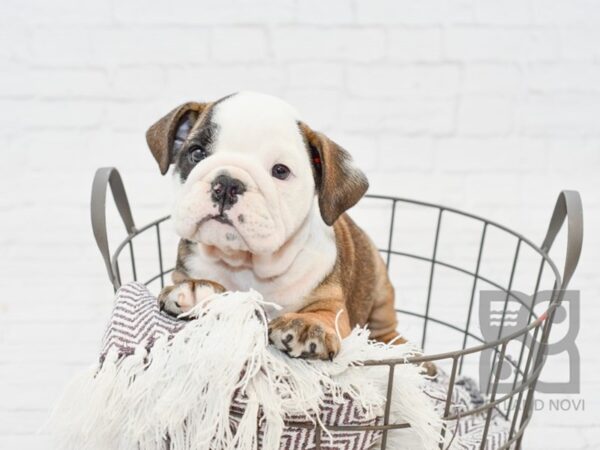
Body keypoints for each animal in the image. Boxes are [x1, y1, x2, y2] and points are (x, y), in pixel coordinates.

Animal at [148, 92, 406, 362]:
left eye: (280, 171)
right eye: (196, 153)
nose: (227, 184)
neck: (248, 264)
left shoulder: (332, 305)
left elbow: (322, 314)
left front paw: (307, 324)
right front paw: (198, 290)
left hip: (380, 289)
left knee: (387, 331)